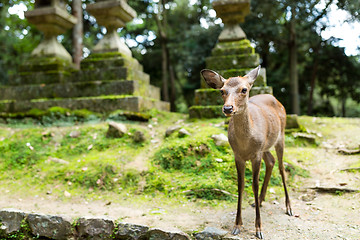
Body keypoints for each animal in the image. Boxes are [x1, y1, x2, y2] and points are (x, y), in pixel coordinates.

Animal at [200, 64, 292, 239]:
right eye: (222, 90)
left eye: (244, 89)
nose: (228, 108)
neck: (245, 143)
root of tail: (276, 99)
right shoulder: (238, 155)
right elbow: (240, 185)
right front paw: (237, 225)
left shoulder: (256, 155)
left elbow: (254, 185)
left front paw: (259, 229)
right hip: (265, 146)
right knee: (271, 161)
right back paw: (259, 201)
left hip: (281, 136)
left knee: (282, 168)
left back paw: (289, 208)